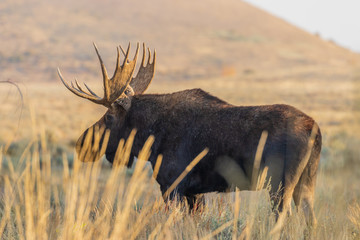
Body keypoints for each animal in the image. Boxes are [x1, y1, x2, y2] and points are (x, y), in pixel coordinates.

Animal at [58, 43, 320, 232]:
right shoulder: (194, 193)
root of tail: (315, 129)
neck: (151, 137)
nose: (82, 144)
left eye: (109, 117)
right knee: (310, 219)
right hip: (305, 184)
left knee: (283, 220)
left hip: (280, 184)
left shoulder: (173, 186)